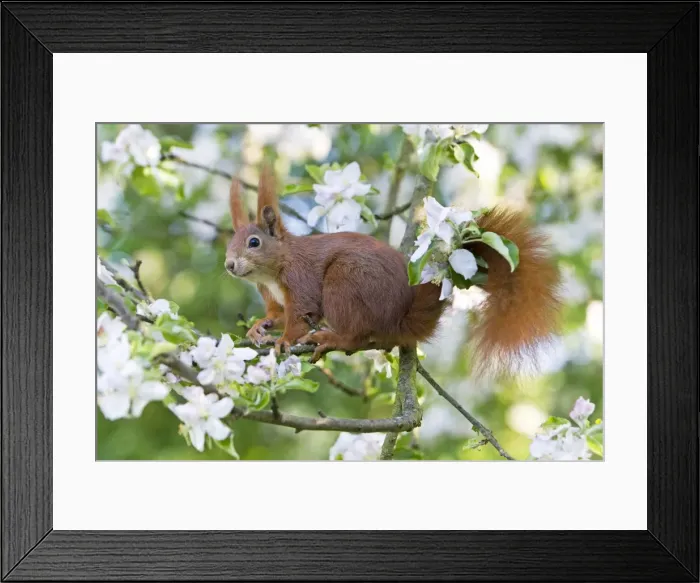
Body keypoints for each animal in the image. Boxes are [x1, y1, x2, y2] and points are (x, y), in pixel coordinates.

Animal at [224, 167, 561, 375]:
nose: (229, 265)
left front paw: (284, 340)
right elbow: (278, 314)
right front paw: (260, 325)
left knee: (357, 337)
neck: (273, 272)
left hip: (345, 282)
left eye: (254, 242)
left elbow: (301, 313)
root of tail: (397, 321)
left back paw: (334, 339)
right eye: (230, 243)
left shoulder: (300, 278)